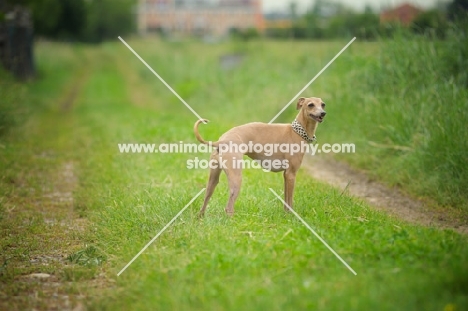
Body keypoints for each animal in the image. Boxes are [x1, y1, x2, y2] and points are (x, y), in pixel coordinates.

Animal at [194, 96, 326, 216]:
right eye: (310, 105)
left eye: (323, 104)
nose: (323, 113)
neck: (296, 132)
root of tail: (221, 141)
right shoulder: (291, 174)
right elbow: (290, 201)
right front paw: (291, 216)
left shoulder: (286, 175)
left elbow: (285, 200)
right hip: (236, 178)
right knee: (228, 207)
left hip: (213, 178)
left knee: (206, 197)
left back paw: (201, 217)